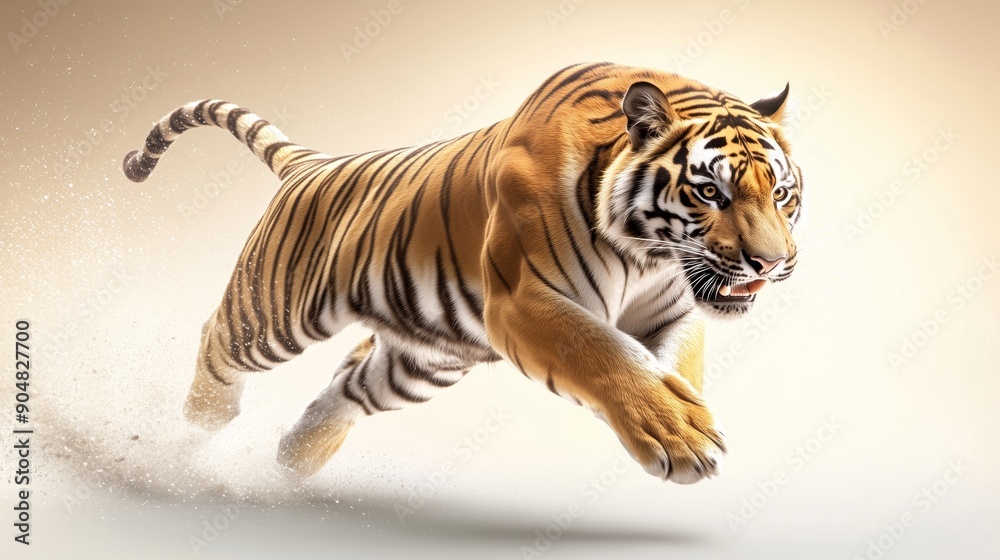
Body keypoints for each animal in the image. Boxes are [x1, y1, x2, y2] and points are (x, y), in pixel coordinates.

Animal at [122, 62, 803, 485]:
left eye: (781, 195)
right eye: (710, 193)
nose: (770, 264)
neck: (647, 254)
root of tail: (313, 164)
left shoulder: (674, 308)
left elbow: (671, 365)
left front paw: (688, 415)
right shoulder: (524, 298)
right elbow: (605, 354)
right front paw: (681, 435)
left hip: (428, 359)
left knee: (351, 382)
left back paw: (293, 461)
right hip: (277, 312)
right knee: (218, 339)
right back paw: (197, 424)